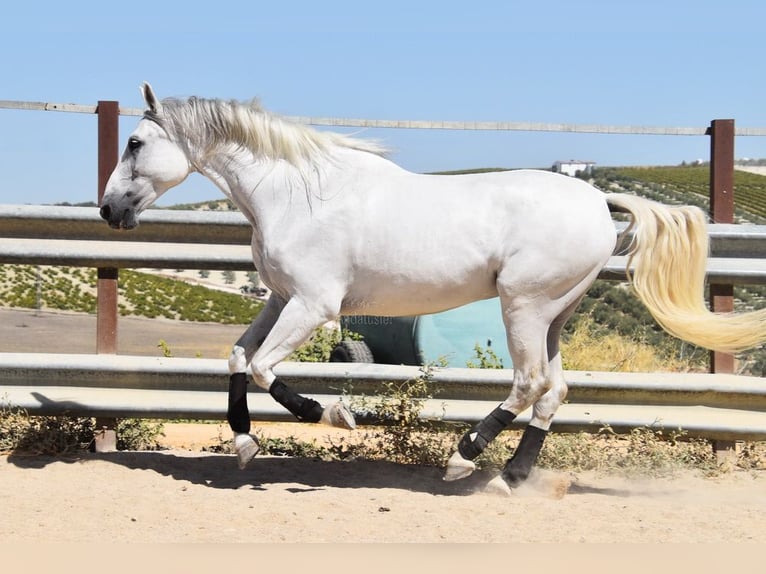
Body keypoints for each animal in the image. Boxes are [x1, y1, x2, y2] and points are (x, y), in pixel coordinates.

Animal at [100, 83, 766, 490]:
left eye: (135, 142)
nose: (109, 210)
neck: (296, 195)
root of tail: (599, 200)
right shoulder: (283, 298)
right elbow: (238, 357)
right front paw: (243, 445)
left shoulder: (314, 305)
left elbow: (265, 368)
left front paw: (333, 414)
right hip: (555, 314)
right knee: (554, 390)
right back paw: (511, 479)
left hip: (524, 306)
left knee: (528, 384)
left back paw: (460, 458)